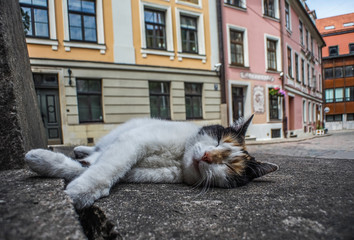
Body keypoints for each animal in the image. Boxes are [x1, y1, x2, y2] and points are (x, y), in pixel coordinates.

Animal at [24, 114, 280, 208]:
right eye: (217, 140)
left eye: (227, 165)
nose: (208, 156)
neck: (178, 159)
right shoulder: (133, 142)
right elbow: (107, 167)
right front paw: (77, 192)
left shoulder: (136, 171)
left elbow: (92, 169)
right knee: (98, 147)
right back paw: (80, 149)